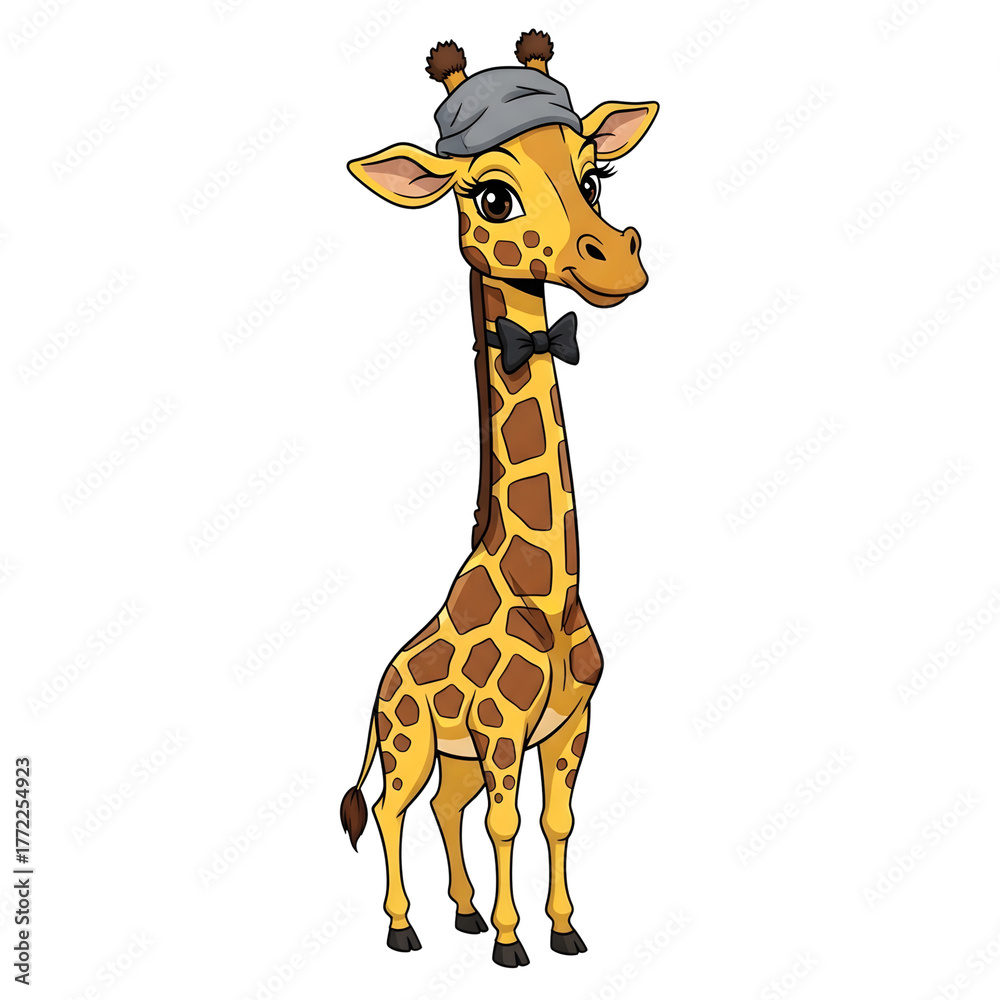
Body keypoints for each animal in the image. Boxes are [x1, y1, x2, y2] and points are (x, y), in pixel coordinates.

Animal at [340, 31, 657, 968]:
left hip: (450, 754)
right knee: (391, 808)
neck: (546, 593)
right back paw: (406, 927)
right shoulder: (501, 729)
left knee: (445, 806)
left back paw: (463, 913)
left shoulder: (568, 726)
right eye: (492, 194)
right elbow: (509, 823)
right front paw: (515, 944)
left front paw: (563, 930)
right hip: (411, 742)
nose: (617, 260)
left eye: (596, 175)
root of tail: (379, 686)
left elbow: (556, 821)